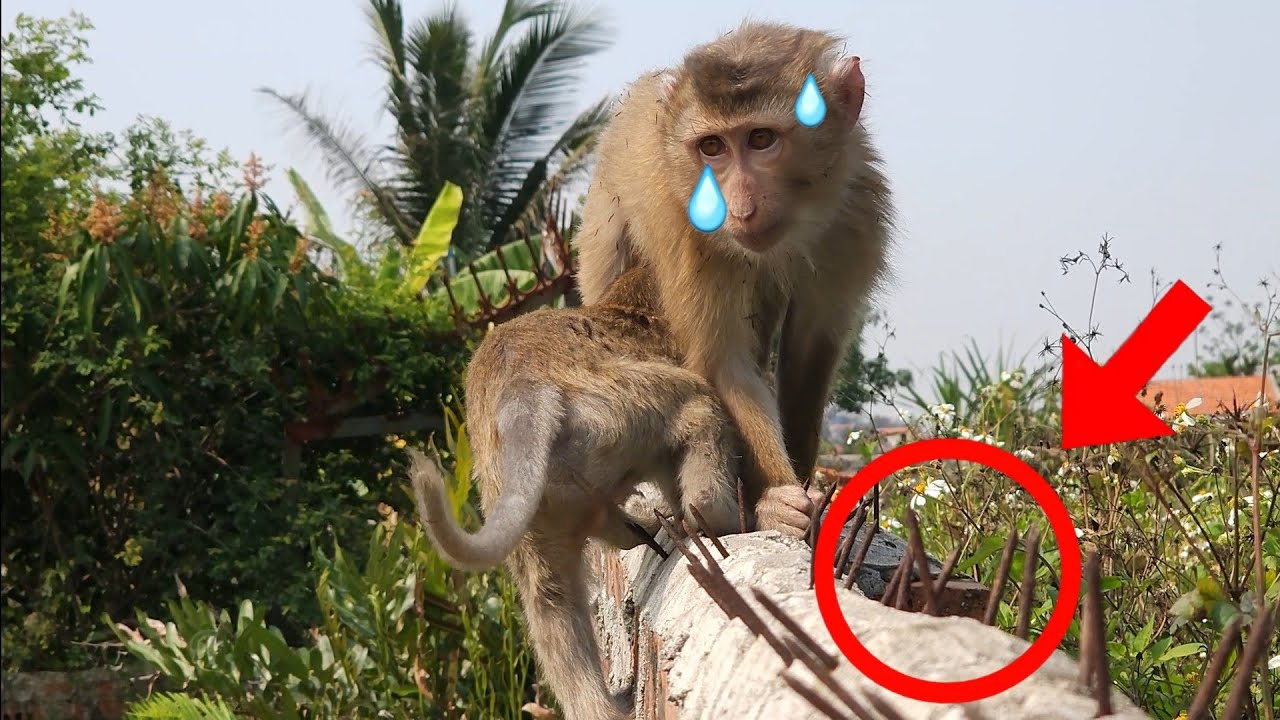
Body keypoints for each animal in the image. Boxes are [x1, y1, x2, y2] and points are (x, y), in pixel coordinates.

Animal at [407, 264, 744, 720]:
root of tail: (520, 396)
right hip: (627, 403)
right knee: (696, 407)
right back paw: (714, 517)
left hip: (538, 503)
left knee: (551, 602)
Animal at [572, 20, 894, 536]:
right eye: (712, 147)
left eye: (761, 139)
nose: (738, 206)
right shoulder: (687, 226)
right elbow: (725, 364)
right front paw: (778, 502)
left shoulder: (856, 215)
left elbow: (810, 350)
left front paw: (803, 492)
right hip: (603, 213)